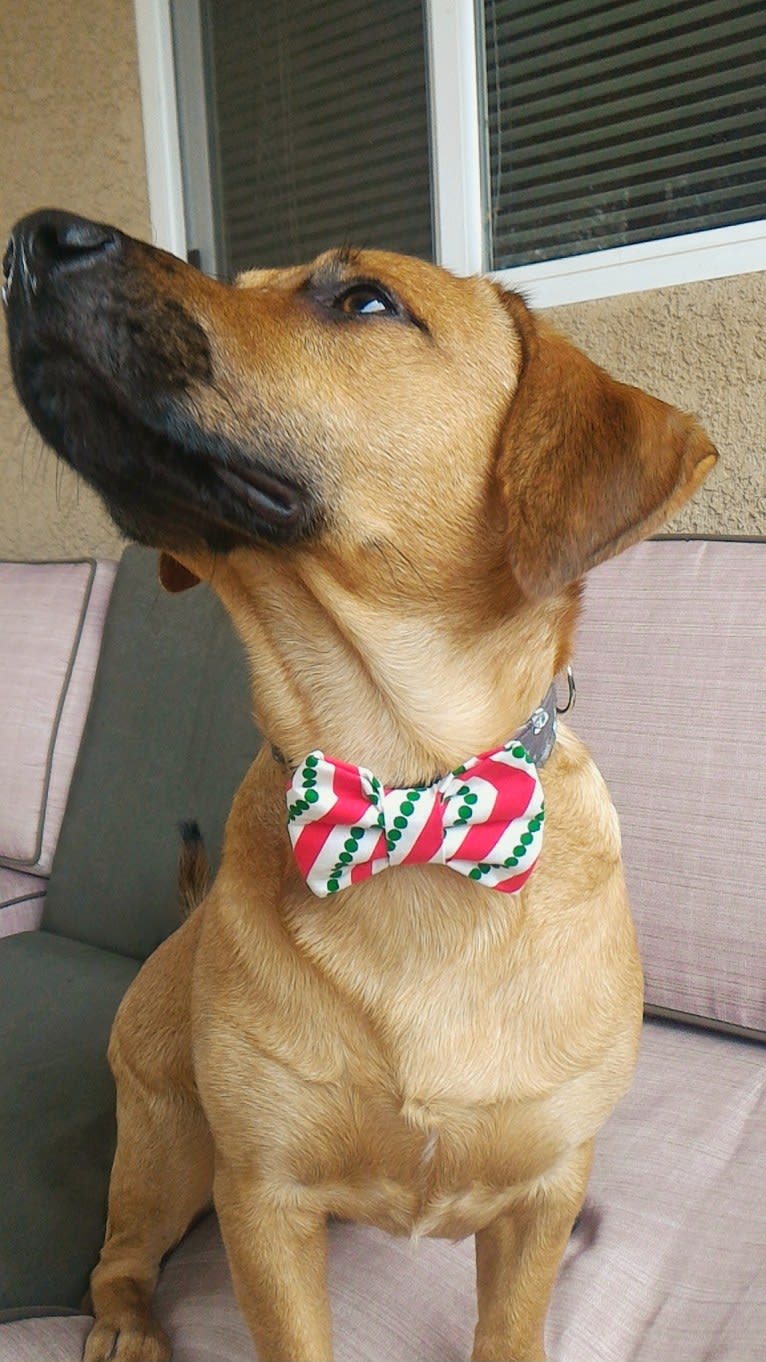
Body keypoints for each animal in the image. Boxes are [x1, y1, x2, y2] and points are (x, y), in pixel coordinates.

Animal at [2, 207, 714, 1356]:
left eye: (364, 300)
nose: (32, 236)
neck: (404, 786)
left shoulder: (542, 1198)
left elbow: (511, 1324)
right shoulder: (264, 1197)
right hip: (168, 1148)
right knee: (117, 1256)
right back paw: (123, 1325)